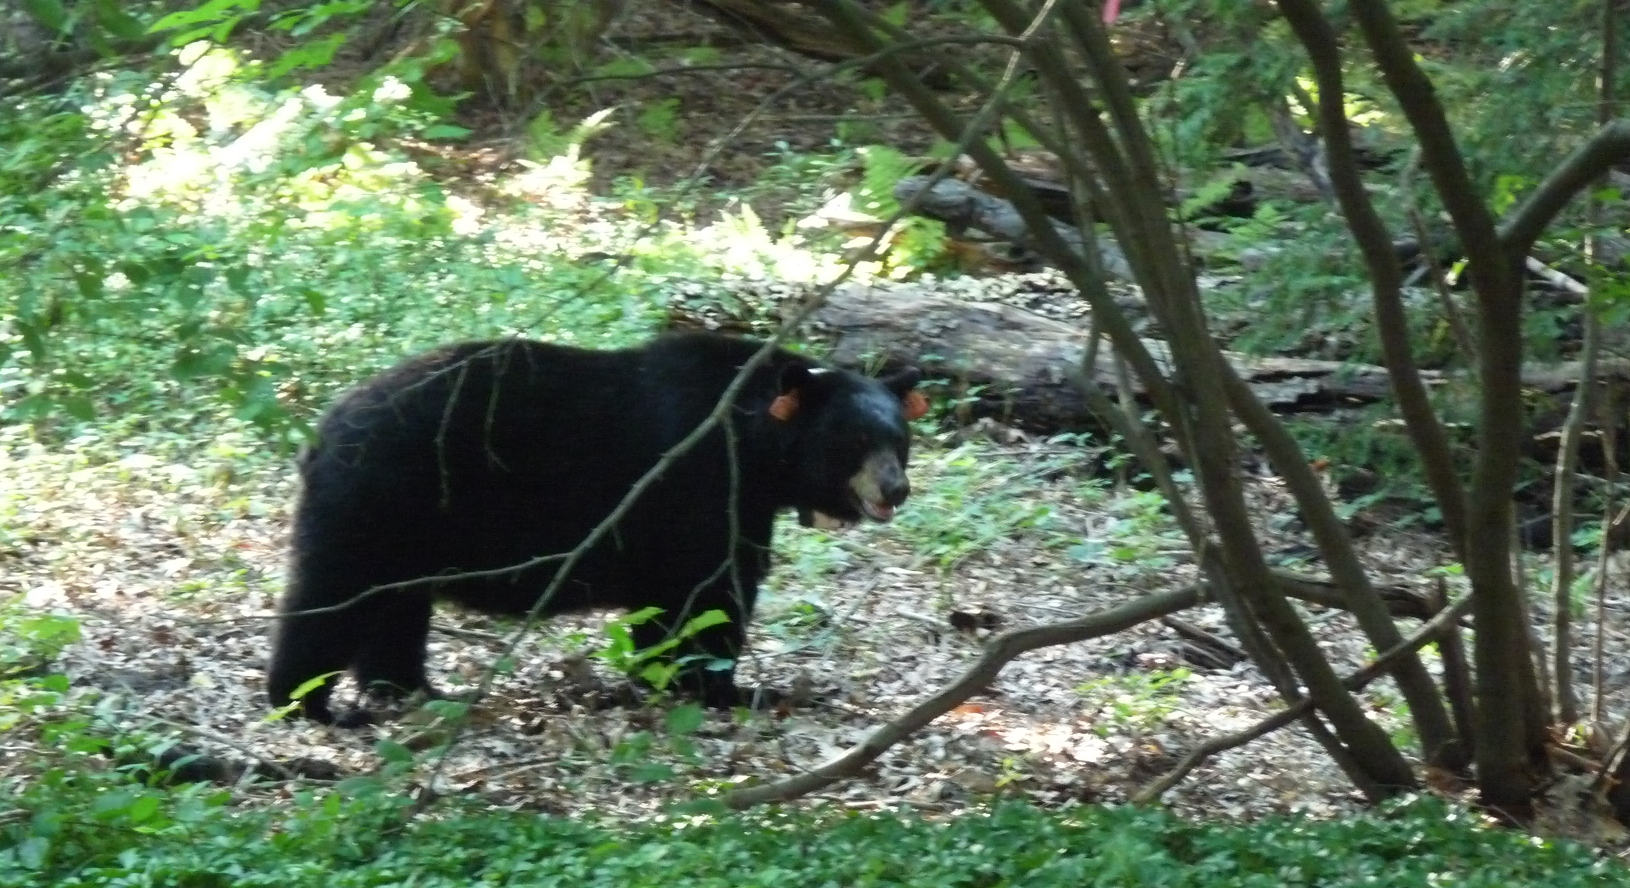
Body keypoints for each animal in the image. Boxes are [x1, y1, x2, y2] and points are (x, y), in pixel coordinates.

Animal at [270, 329, 932, 723]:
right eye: (854, 440)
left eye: (899, 438)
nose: (895, 488)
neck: (752, 444)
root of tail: (323, 431)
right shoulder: (700, 486)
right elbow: (709, 594)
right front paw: (728, 689)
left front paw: (665, 681)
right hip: (377, 502)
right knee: (329, 598)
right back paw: (306, 702)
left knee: (395, 609)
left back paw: (410, 692)